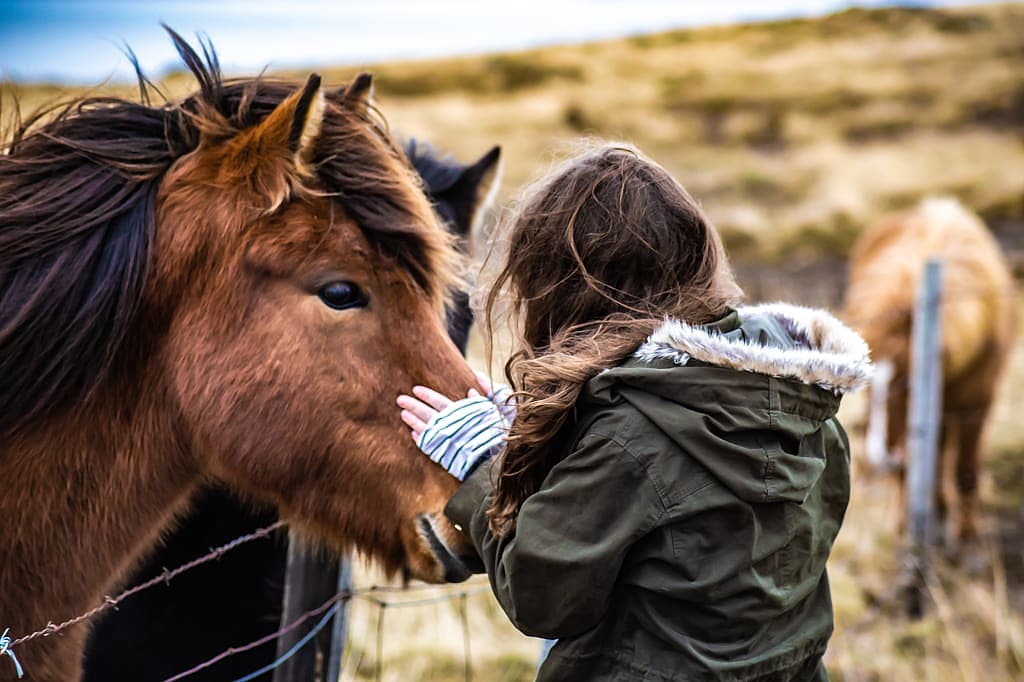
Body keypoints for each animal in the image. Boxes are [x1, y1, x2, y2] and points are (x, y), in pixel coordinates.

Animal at [843, 197, 1016, 545]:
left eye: (909, 383)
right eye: (863, 384)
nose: (881, 455)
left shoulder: (976, 399)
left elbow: (964, 469)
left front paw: (967, 536)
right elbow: (913, 469)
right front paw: (906, 529)